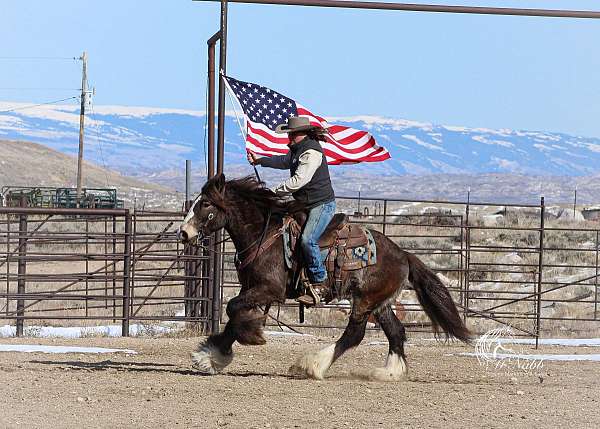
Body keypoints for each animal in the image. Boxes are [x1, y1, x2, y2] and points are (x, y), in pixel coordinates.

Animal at [178, 172, 468, 380]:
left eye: (205, 204)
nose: (183, 233)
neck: (264, 234)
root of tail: (403, 254)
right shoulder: (251, 287)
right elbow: (234, 313)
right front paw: (211, 357)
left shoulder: (269, 289)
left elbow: (232, 308)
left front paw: (250, 335)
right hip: (379, 302)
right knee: (395, 331)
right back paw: (389, 372)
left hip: (364, 301)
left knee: (355, 334)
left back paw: (313, 365)